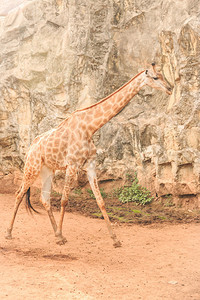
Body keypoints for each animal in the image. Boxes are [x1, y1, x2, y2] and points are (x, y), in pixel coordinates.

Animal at [5, 62, 173, 246]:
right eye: (155, 77)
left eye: (163, 75)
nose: (170, 89)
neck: (90, 128)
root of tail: (31, 147)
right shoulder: (72, 165)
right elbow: (64, 200)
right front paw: (63, 234)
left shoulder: (90, 166)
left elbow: (100, 201)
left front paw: (115, 239)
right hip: (32, 167)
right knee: (19, 193)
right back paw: (10, 233)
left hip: (47, 169)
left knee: (44, 198)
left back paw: (56, 234)